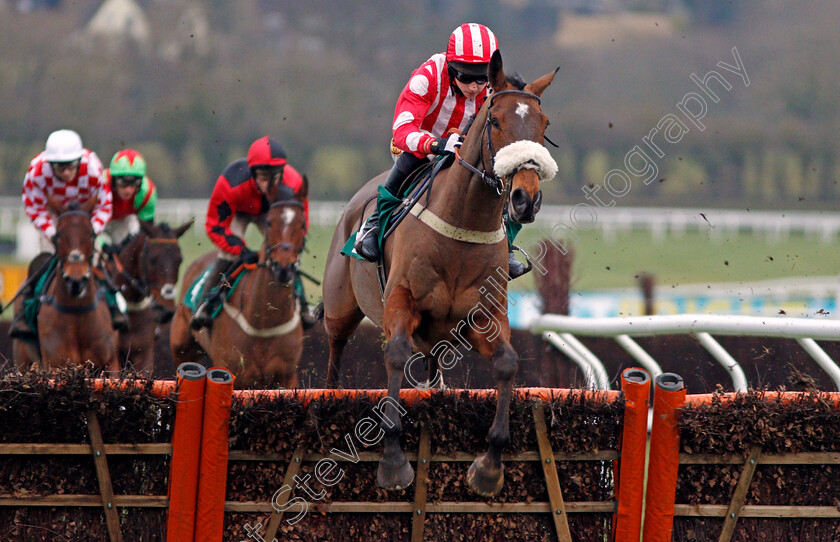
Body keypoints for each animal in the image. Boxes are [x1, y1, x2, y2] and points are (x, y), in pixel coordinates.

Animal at [11, 199, 121, 374]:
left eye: (91, 234)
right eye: (58, 235)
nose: (76, 281)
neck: (77, 314)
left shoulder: (111, 362)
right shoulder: (55, 365)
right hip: (22, 358)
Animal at [169, 185, 306, 388]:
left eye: (302, 224)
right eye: (269, 223)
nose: (284, 267)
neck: (263, 323)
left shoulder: (287, 376)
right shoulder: (235, 372)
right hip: (182, 347)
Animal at [322, 51, 556, 498]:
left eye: (544, 124)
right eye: (495, 120)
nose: (526, 199)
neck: (462, 224)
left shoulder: (484, 317)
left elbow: (507, 364)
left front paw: (489, 467)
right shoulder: (401, 301)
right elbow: (396, 354)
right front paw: (393, 462)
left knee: (432, 366)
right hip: (339, 306)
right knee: (335, 350)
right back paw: (328, 397)